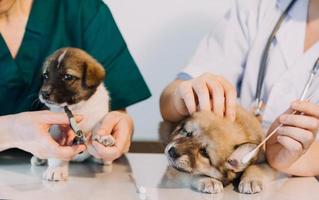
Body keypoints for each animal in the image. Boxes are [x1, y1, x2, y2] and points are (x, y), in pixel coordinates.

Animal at [31, 48, 114, 181]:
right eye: (45, 76)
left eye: (68, 77)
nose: (43, 93)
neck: (76, 108)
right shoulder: (55, 132)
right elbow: (56, 153)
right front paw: (56, 168)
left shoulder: (98, 114)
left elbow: (99, 125)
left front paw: (105, 136)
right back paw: (39, 159)